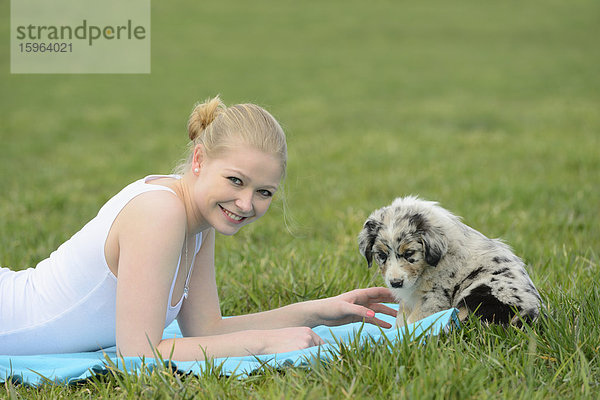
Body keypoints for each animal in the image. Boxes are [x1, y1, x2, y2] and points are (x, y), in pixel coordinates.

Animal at [358, 195, 540, 326]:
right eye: (382, 255)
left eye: (409, 253)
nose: (396, 283)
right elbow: (401, 318)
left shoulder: (433, 297)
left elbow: (413, 321)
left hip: (483, 294)